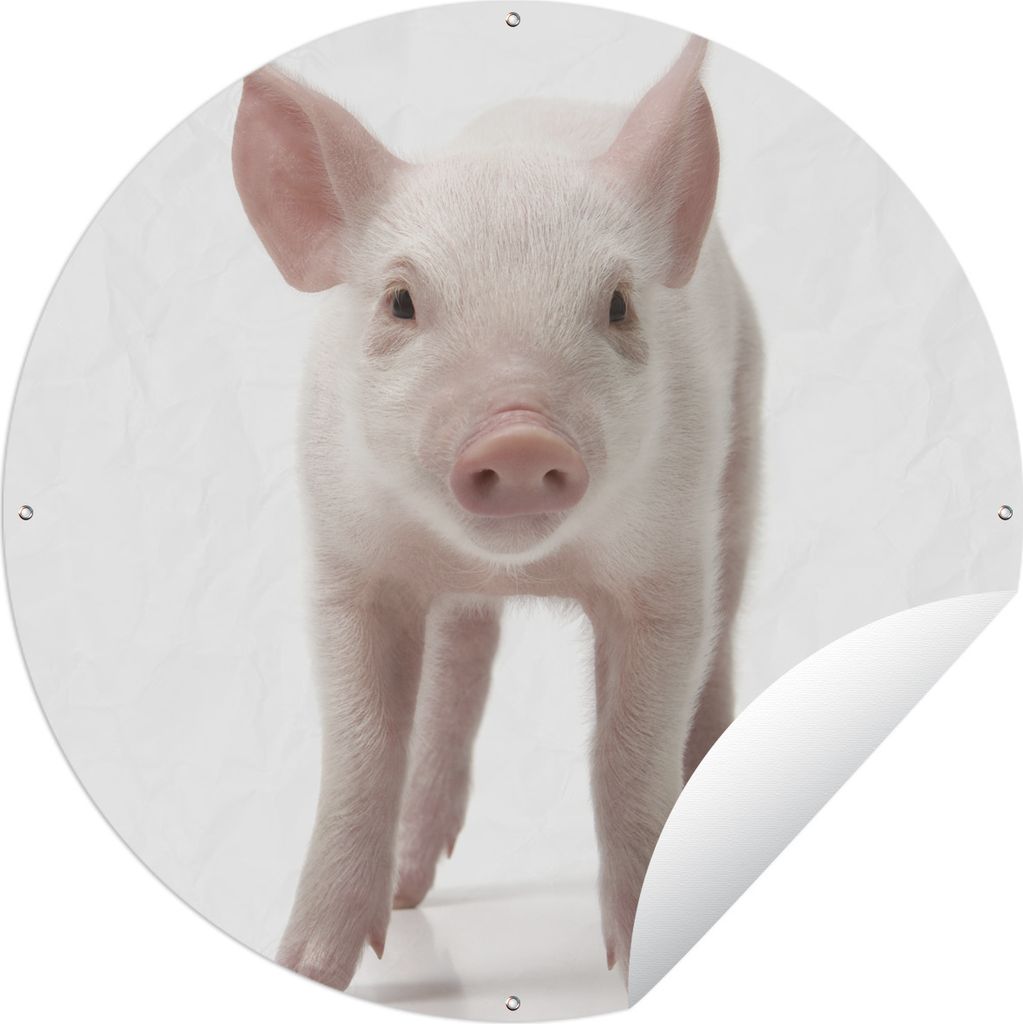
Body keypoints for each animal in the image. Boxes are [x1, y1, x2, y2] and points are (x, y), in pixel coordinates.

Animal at [232, 35, 762, 990]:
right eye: (401, 301)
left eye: (618, 303)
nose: (518, 435)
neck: (520, 568)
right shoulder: (348, 560)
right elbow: (361, 748)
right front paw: (308, 969)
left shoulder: (669, 564)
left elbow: (629, 752)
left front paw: (638, 963)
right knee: (459, 665)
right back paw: (411, 894)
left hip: (743, 448)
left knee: (719, 647)